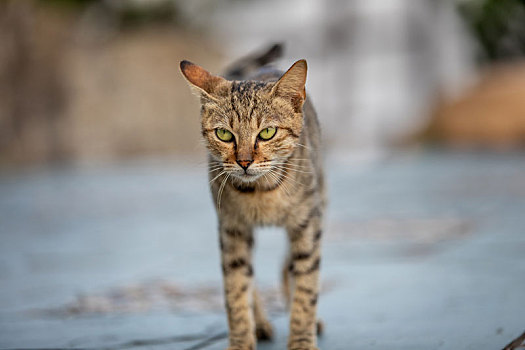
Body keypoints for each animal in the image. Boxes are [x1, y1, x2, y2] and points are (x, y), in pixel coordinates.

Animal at [180, 44, 324, 350]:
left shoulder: (308, 223)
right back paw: (260, 323)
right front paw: (241, 340)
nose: (244, 162)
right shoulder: (232, 227)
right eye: (224, 134)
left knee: (288, 268)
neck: (261, 192)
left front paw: (302, 339)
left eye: (267, 132)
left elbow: (306, 286)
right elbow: (236, 288)